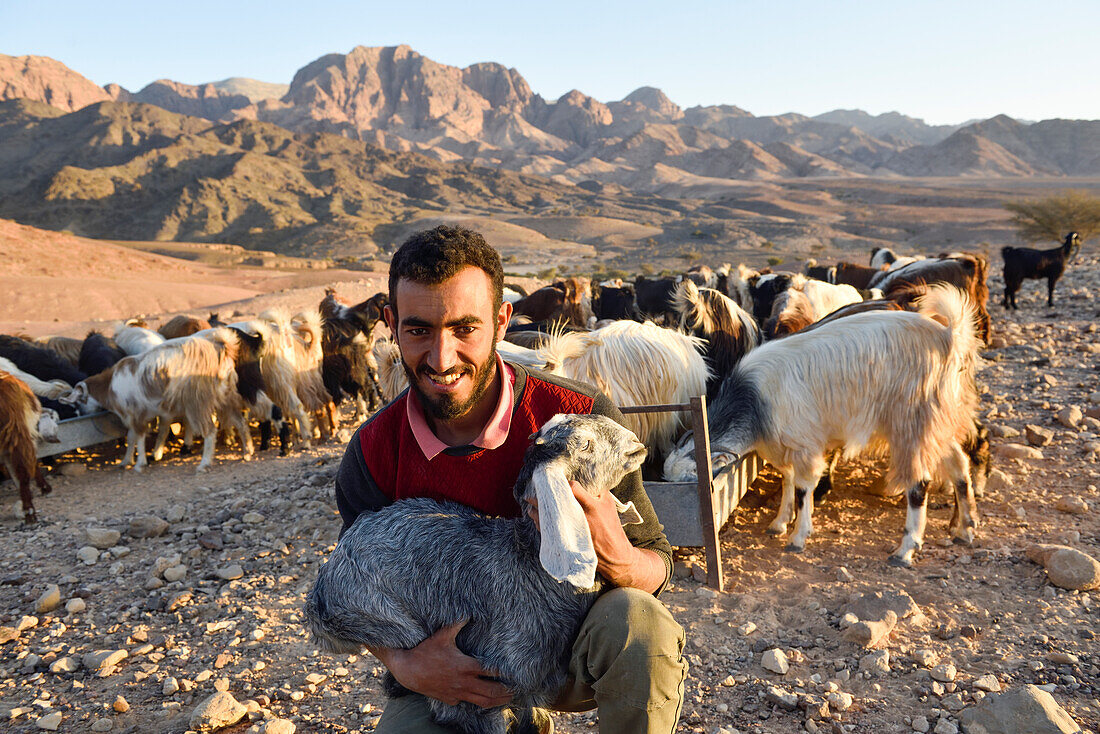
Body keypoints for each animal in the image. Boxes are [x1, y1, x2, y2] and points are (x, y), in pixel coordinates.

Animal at [660, 283, 981, 567]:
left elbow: (803, 489)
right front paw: (779, 522)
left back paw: (905, 550)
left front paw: (798, 536)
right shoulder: (787, 444)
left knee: (919, 483)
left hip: (911, 423)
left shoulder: (805, 443)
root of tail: (947, 337)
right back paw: (965, 527)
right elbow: (788, 481)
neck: (754, 401)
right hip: (937, 422)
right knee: (959, 464)